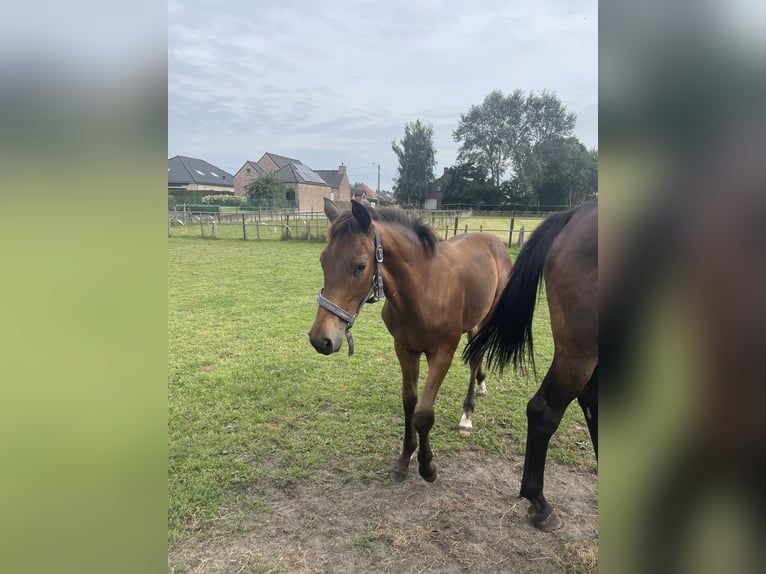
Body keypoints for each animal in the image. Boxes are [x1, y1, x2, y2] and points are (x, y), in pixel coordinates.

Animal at [308, 200, 512, 484]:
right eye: (322, 261)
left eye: (360, 266)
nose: (321, 339)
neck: (423, 289)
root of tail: (493, 241)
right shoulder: (405, 350)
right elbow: (409, 403)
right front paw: (405, 458)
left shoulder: (442, 354)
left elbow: (424, 414)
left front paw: (427, 466)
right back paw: (481, 386)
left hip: (488, 317)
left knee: (476, 357)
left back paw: (467, 415)